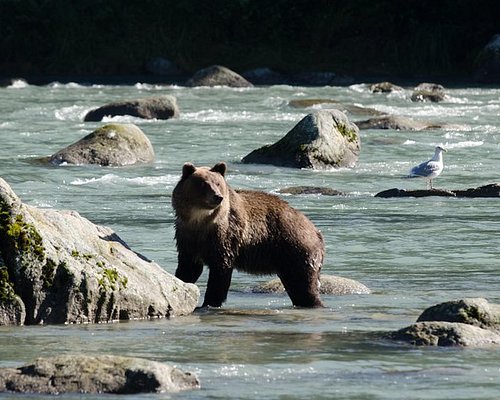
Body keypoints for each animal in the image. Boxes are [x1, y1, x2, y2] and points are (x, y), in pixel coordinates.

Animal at [172, 161, 324, 308]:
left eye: (218, 183)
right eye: (203, 183)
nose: (218, 197)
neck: (200, 219)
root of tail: (316, 231)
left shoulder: (224, 236)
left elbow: (220, 270)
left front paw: (209, 302)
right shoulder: (187, 236)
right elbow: (189, 267)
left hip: (295, 248)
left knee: (303, 285)